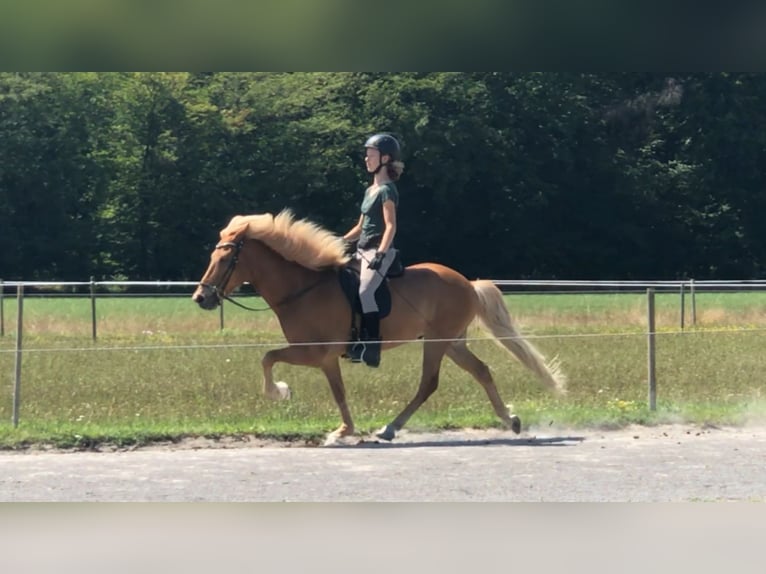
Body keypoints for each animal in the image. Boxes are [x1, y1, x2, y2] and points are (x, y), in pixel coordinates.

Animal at [192, 209, 566, 445]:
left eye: (224, 259)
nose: (201, 297)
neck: (304, 288)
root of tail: (467, 283)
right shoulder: (319, 356)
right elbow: (289, 367)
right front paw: (337, 426)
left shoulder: (317, 354)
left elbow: (274, 360)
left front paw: (300, 405)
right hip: (451, 342)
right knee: (482, 371)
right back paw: (510, 420)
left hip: (436, 341)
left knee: (429, 383)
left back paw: (390, 428)